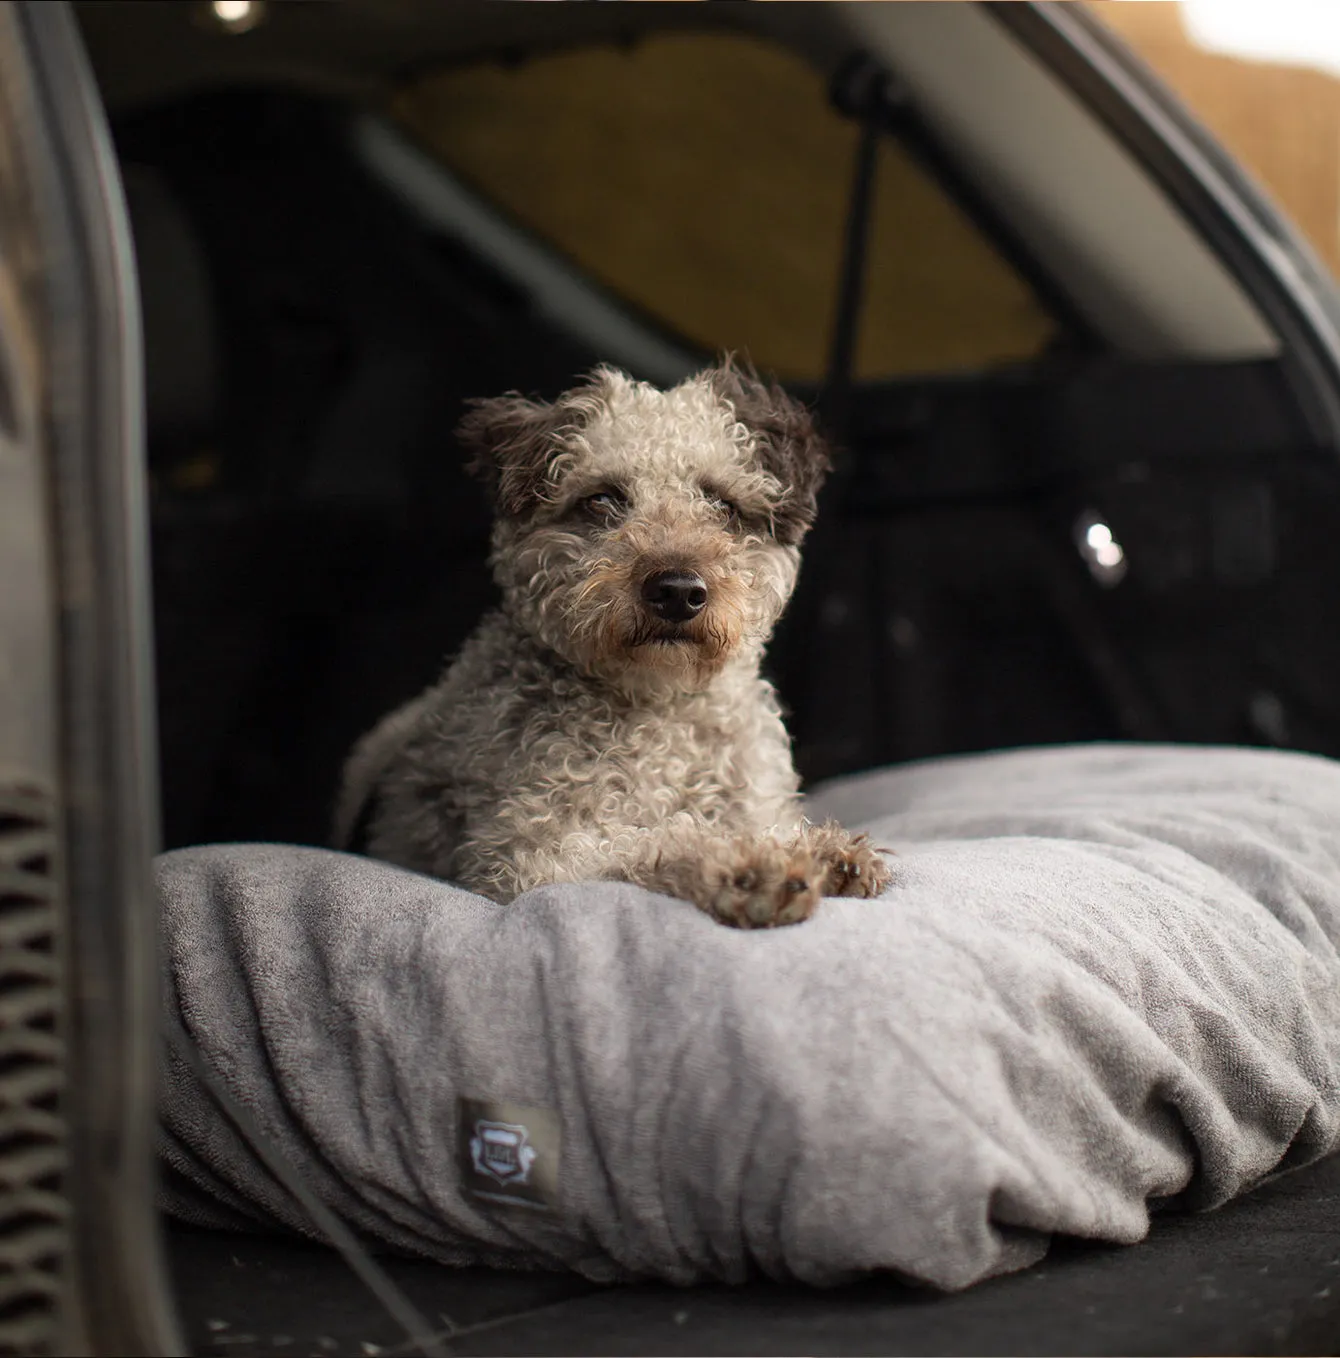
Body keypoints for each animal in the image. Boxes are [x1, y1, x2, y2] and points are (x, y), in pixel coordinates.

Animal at [335, 355, 896, 928]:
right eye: (602, 499)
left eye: (722, 503)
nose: (677, 590)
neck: (660, 708)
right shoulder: (535, 849)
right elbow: (655, 843)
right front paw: (752, 867)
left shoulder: (755, 796)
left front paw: (825, 850)